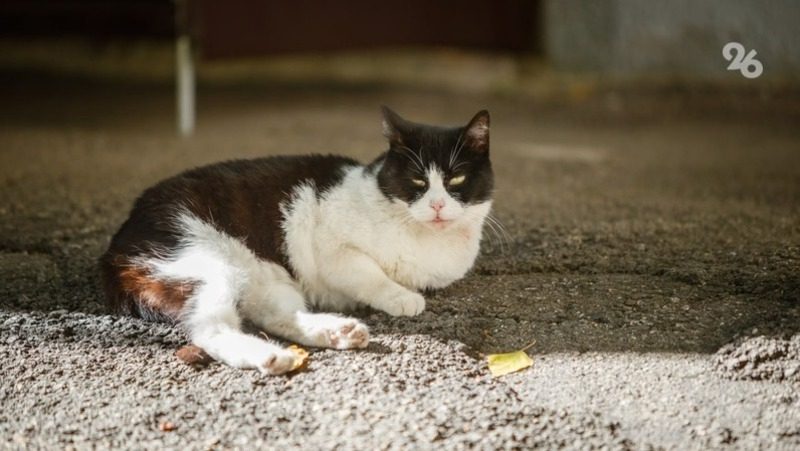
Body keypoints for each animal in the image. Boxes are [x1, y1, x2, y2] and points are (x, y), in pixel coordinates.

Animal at [101, 107, 494, 376]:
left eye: (457, 179)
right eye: (417, 181)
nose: (438, 205)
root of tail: (116, 243)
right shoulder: (333, 248)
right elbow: (369, 274)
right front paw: (401, 298)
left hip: (267, 280)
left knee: (276, 317)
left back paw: (337, 332)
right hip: (204, 265)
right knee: (212, 330)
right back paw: (269, 357)